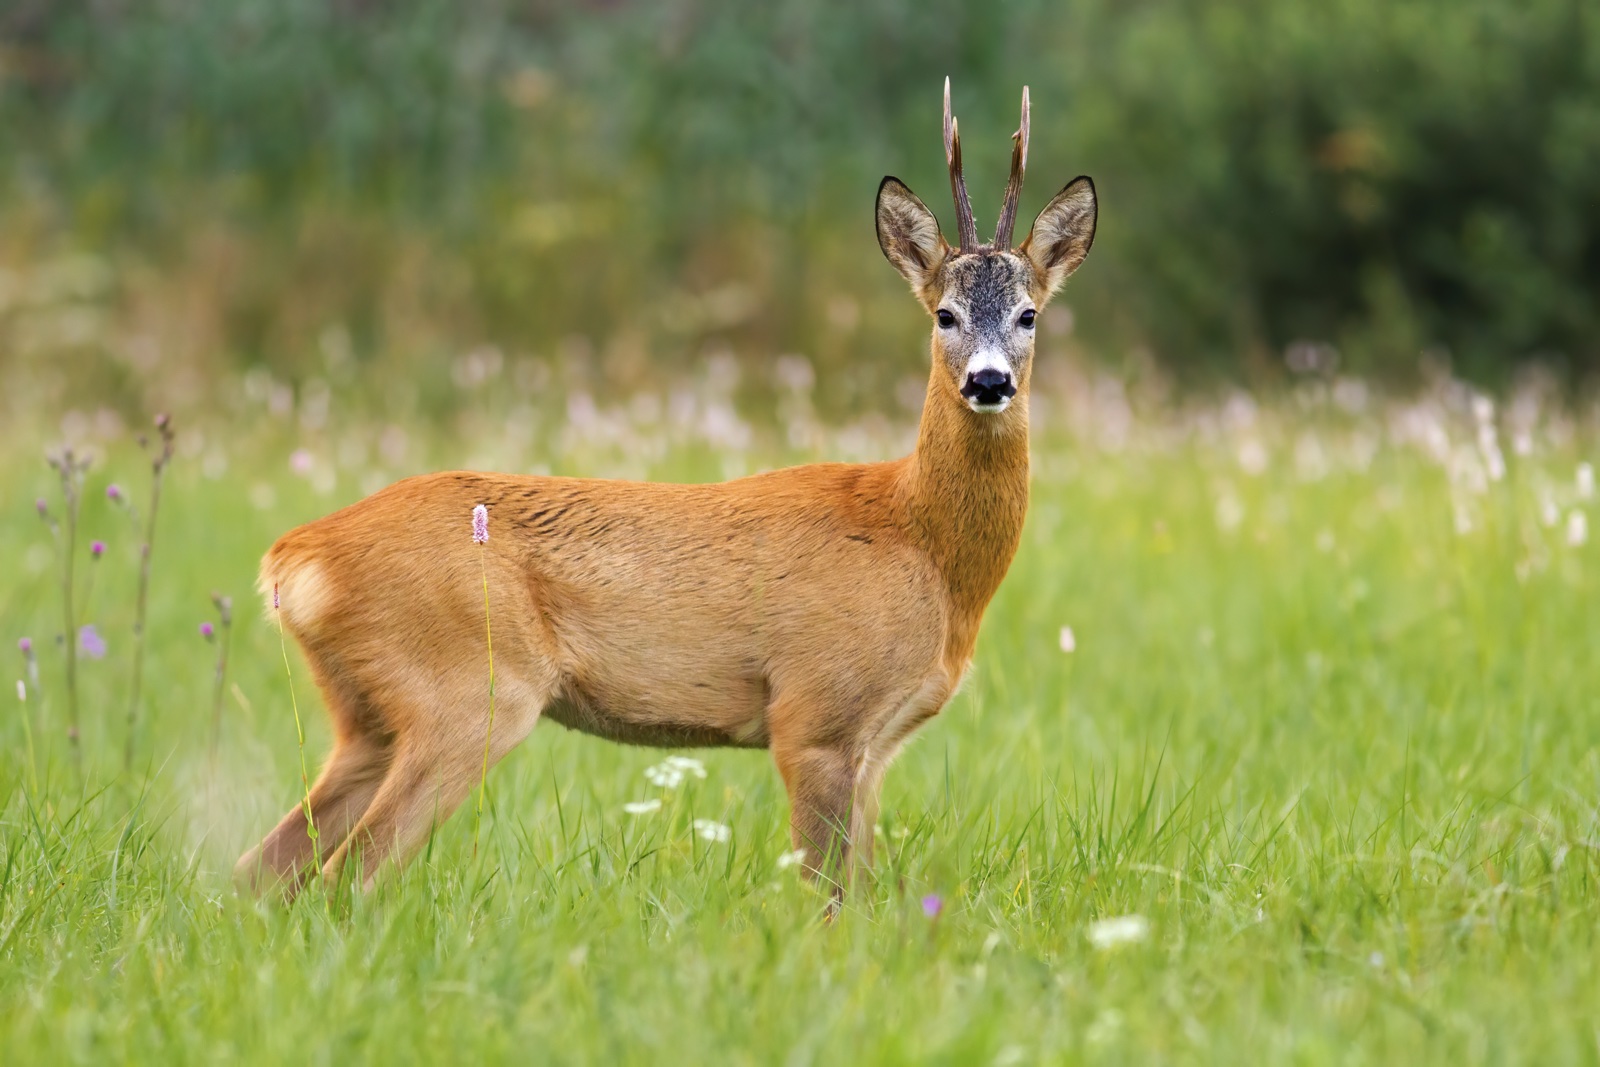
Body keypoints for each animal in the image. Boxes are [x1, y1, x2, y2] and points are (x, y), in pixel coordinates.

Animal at [236, 78, 1096, 900]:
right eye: (945, 313)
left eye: (1029, 314)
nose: (989, 382)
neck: (921, 541)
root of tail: (294, 556)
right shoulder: (815, 713)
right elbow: (827, 899)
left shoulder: (875, 747)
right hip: (465, 691)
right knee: (347, 874)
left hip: (366, 715)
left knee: (257, 871)